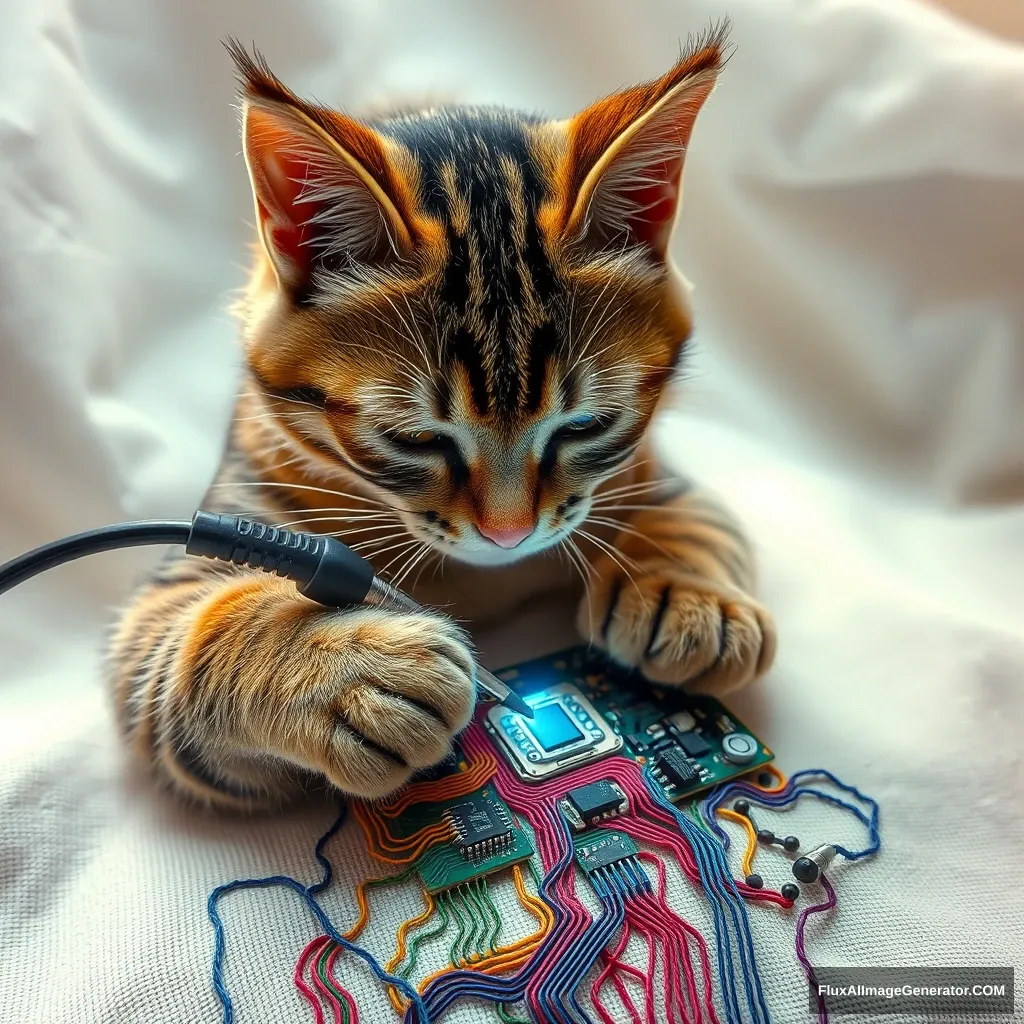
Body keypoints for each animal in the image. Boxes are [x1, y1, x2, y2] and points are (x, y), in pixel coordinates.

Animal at [105, 28, 774, 811]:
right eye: (415, 439)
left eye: (586, 426)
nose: (509, 533)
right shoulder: (193, 563)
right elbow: (200, 636)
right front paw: (349, 677)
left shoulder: (650, 467)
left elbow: (698, 515)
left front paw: (691, 595)